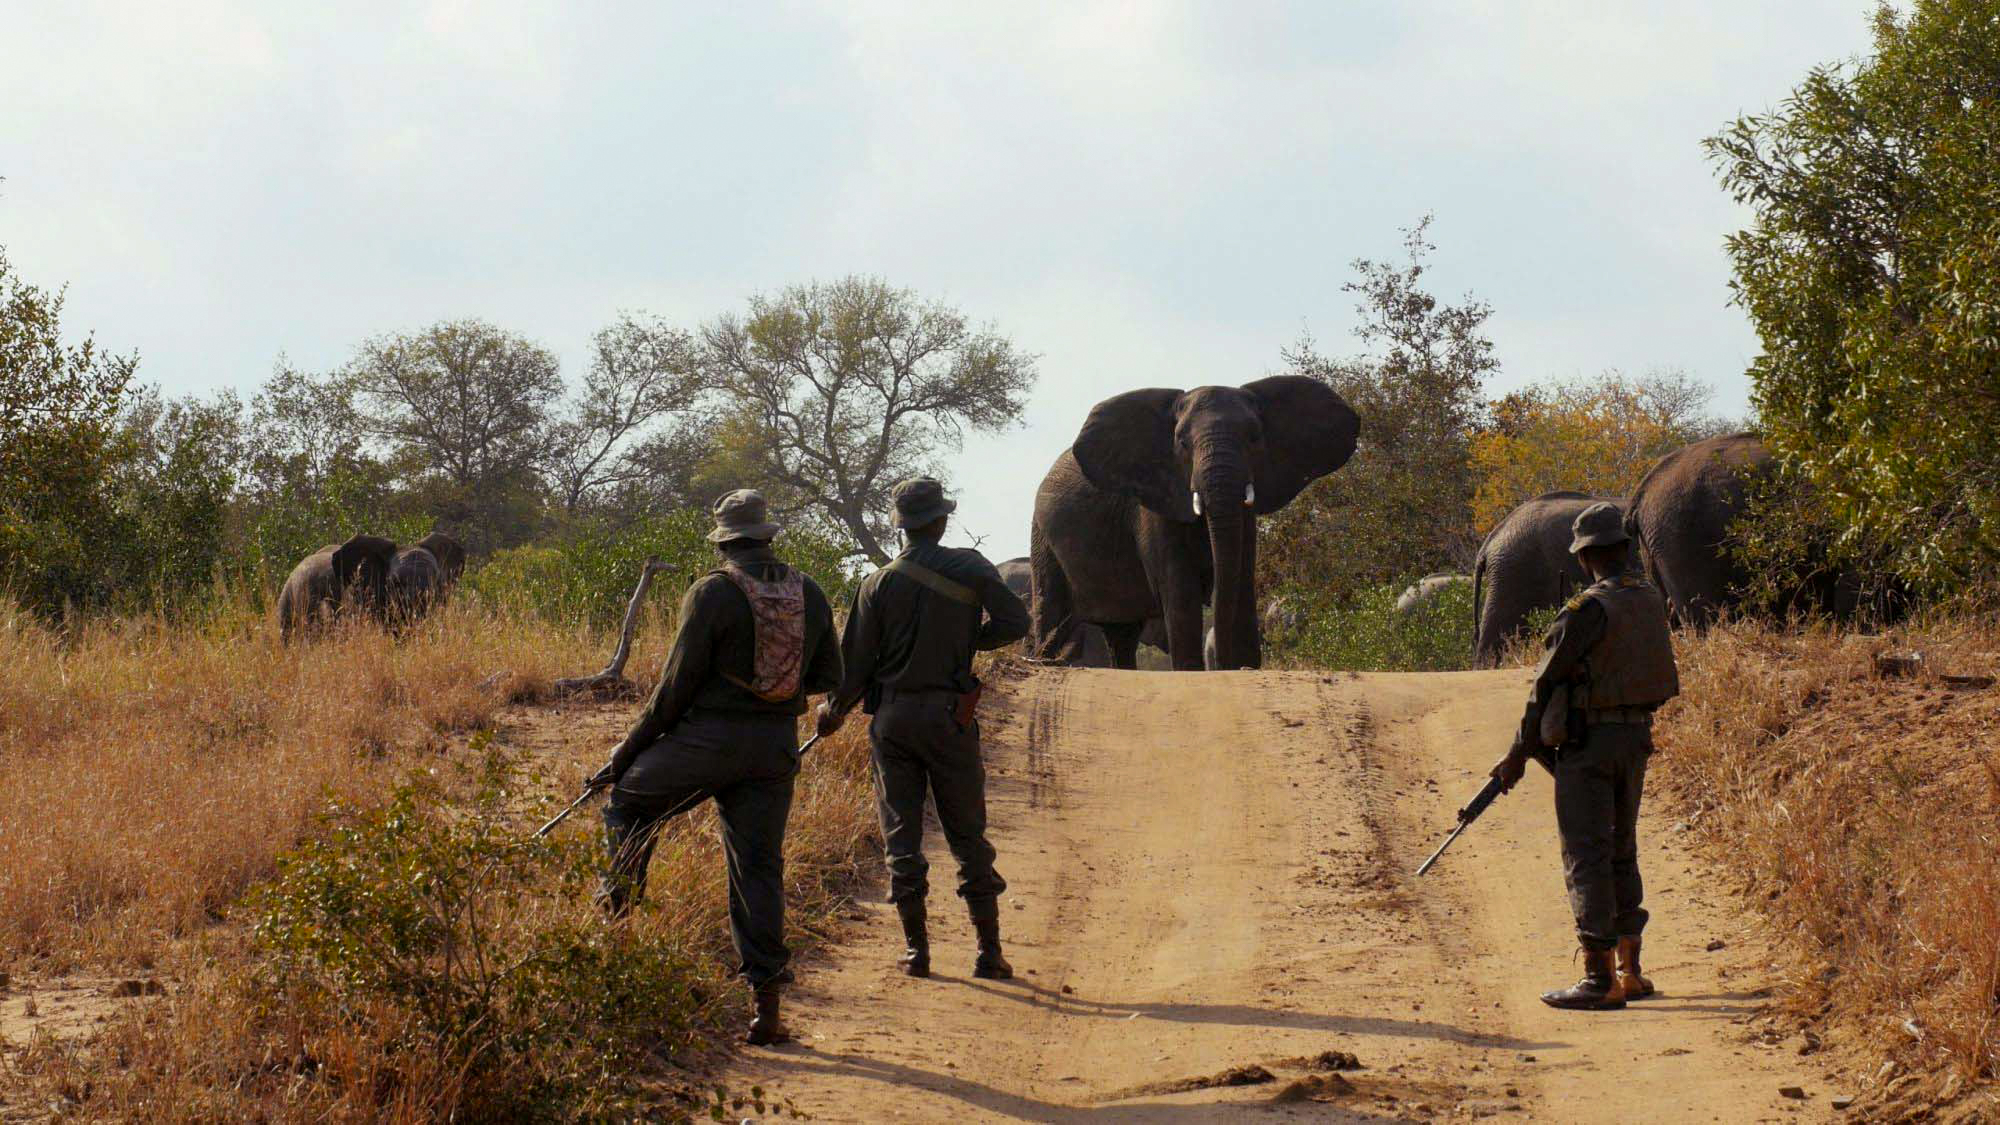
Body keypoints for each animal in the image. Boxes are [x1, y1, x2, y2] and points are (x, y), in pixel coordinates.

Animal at [1032, 372, 1360, 668]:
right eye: (1182, 442)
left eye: (1254, 437)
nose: (1227, 665)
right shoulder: (1157, 503)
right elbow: (1181, 594)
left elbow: (1241, 585)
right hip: (1041, 537)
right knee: (1053, 619)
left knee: (1123, 635)